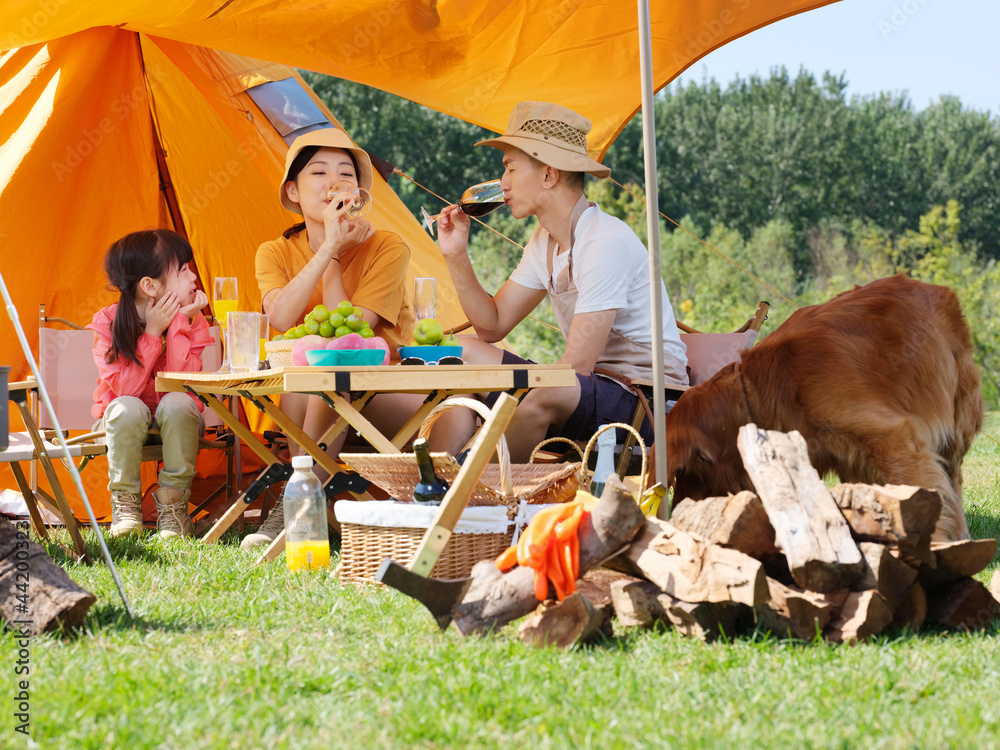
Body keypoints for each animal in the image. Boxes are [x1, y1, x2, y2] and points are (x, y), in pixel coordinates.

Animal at [664, 274, 984, 540]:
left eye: (686, 471)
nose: (676, 516)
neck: (759, 393)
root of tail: (936, 288)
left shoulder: (894, 439)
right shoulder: (851, 458)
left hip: (955, 421)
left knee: (953, 477)